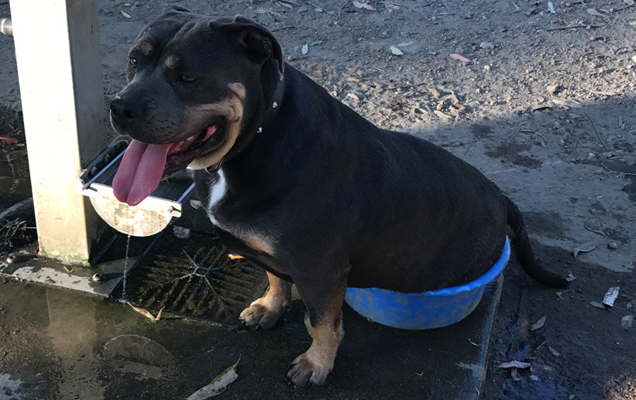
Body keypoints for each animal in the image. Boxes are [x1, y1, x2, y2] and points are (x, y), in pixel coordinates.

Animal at [109, 7, 568, 387]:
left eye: (188, 77)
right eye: (133, 61)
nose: (119, 108)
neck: (254, 138)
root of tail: (502, 198)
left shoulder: (320, 269)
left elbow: (323, 322)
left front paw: (316, 365)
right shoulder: (276, 252)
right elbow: (276, 278)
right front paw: (270, 308)